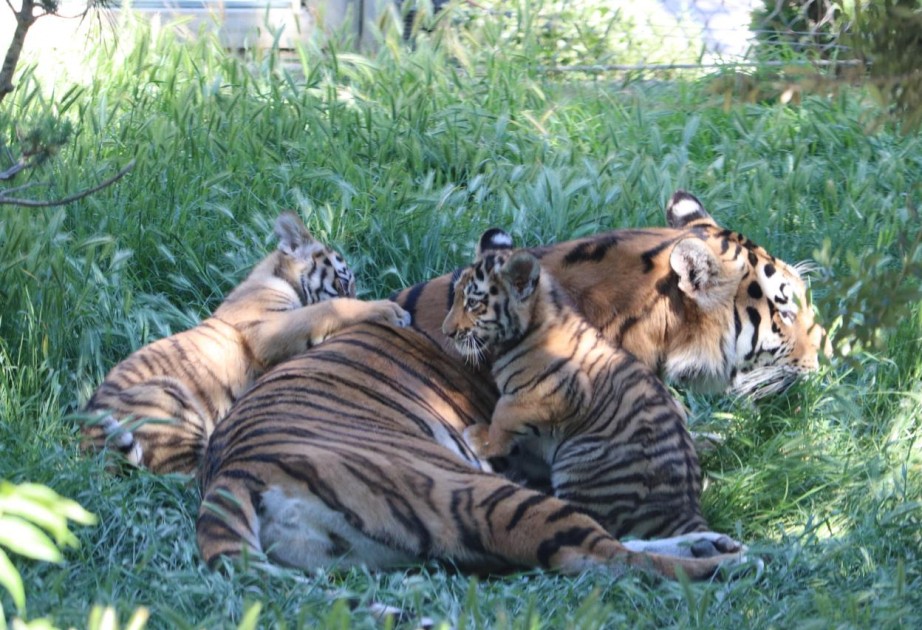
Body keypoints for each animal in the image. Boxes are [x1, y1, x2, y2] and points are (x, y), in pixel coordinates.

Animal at [80, 213, 411, 474]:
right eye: (344, 283)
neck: (276, 276)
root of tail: (85, 438)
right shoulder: (268, 330)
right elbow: (328, 309)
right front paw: (389, 310)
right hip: (167, 398)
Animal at [443, 230, 711, 540]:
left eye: (473, 303)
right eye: (455, 297)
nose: (447, 332)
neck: (531, 324)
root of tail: (686, 505)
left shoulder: (548, 393)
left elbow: (503, 414)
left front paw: (482, 440)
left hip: (580, 462)